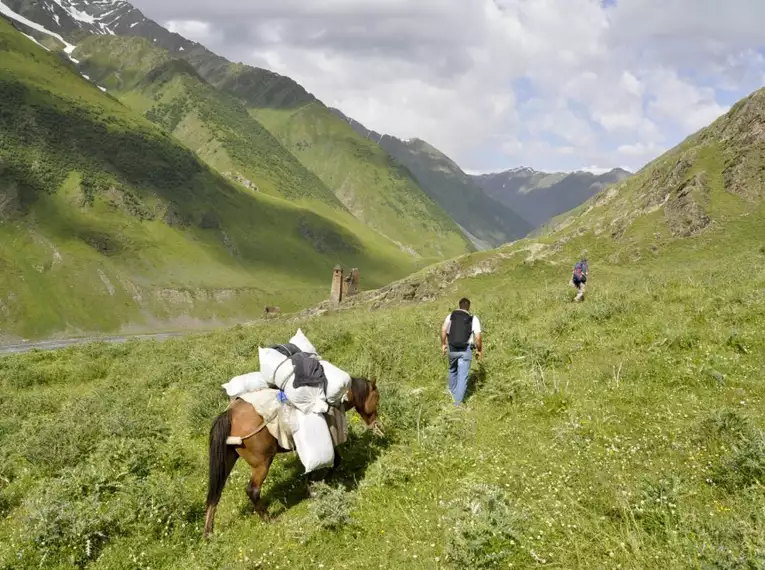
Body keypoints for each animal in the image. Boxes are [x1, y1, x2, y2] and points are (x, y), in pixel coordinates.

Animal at [203, 374, 382, 536]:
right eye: (377, 398)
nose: (376, 424)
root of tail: (229, 414)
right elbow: (335, 462)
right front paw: (315, 486)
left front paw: (310, 486)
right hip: (262, 463)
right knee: (252, 490)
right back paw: (268, 519)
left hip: (227, 459)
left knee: (215, 492)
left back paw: (208, 532)